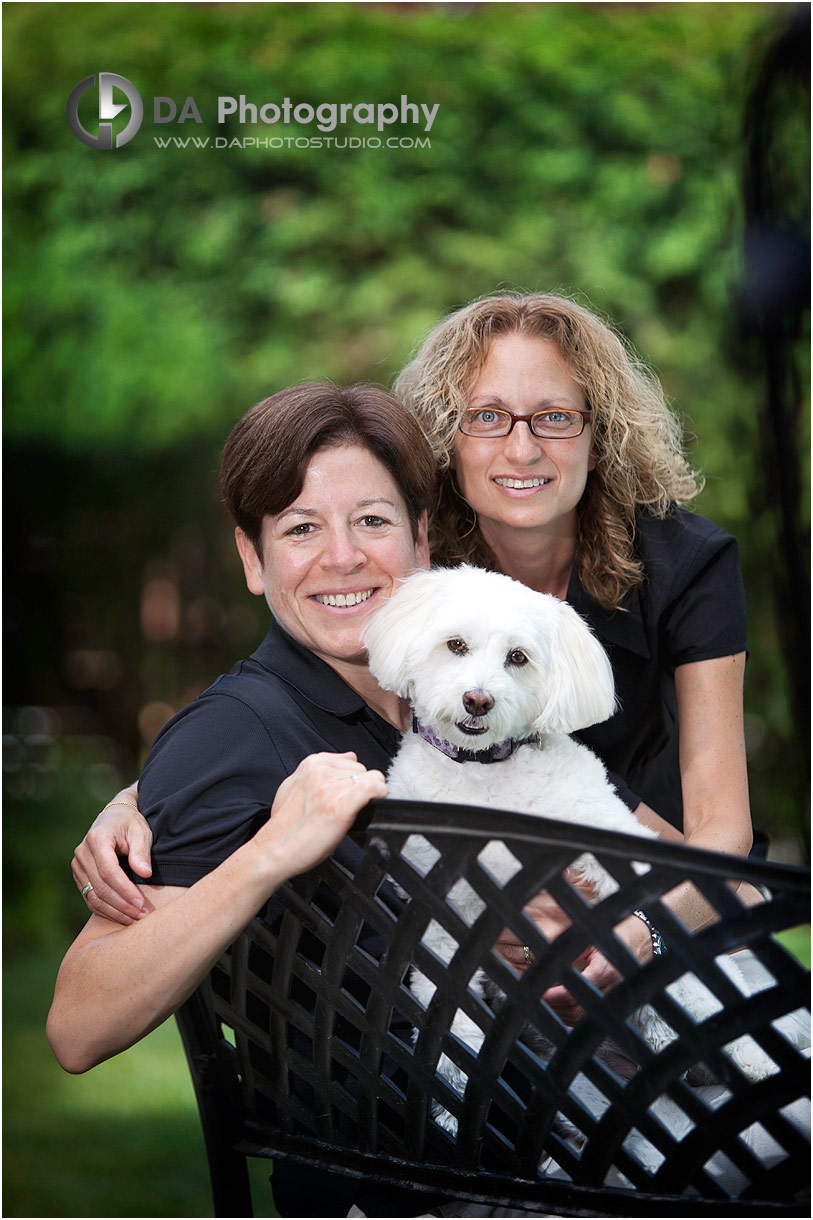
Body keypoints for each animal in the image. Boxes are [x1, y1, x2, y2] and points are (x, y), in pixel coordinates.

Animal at [361, 566, 771, 1137]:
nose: (477, 701)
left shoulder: (603, 836)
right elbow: (449, 1016)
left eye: (518, 657)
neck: (485, 774)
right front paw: (447, 1100)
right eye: (456, 645)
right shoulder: (442, 920)